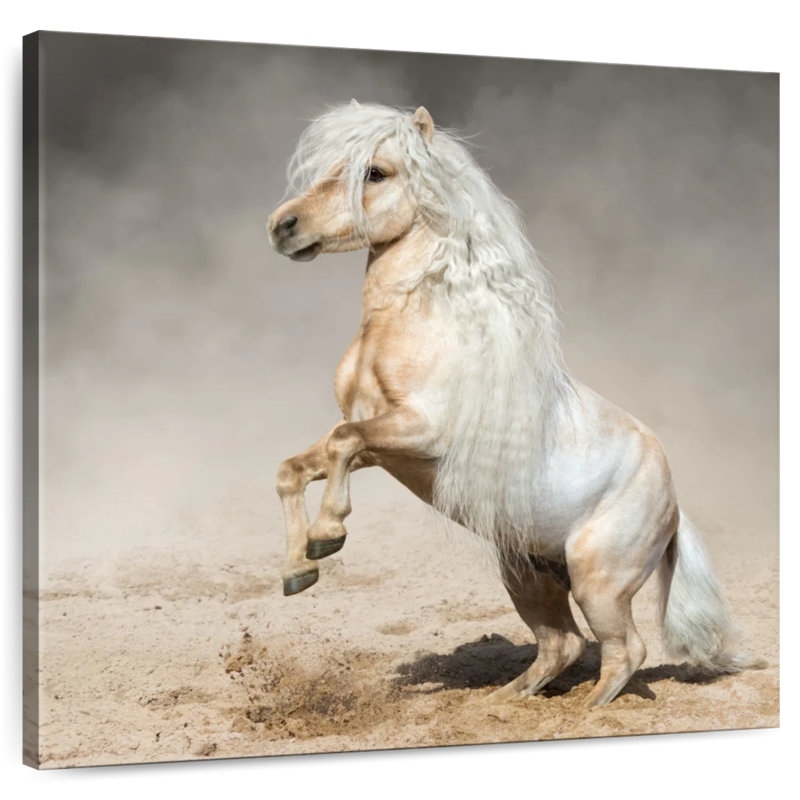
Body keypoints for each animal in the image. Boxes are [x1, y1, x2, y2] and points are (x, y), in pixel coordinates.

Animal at [267, 101, 762, 707]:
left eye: (375, 173)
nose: (282, 226)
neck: (428, 324)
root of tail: (672, 507)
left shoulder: (419, 433)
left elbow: (340, 444)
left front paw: (327, 537)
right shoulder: (381, 447)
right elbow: (296, 467)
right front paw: (298, 570)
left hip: (597, 582)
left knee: (625, 650)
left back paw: (588, 711)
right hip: (527, 572)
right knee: (562, 645)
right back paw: (500, 701)